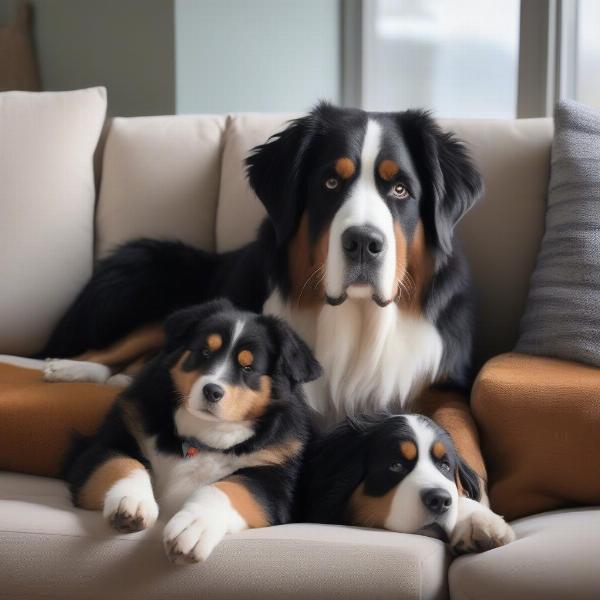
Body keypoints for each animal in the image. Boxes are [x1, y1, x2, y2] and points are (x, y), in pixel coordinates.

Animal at [63, 298, 322, 564]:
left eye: (248, 367)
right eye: (204, 352)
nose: (212, 391)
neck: (201, 435)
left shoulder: (273, 483)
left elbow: (228, 488)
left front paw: (195, 527)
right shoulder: (103, 442)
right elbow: (123, 462)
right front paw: (132, 500)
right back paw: (67, 368)